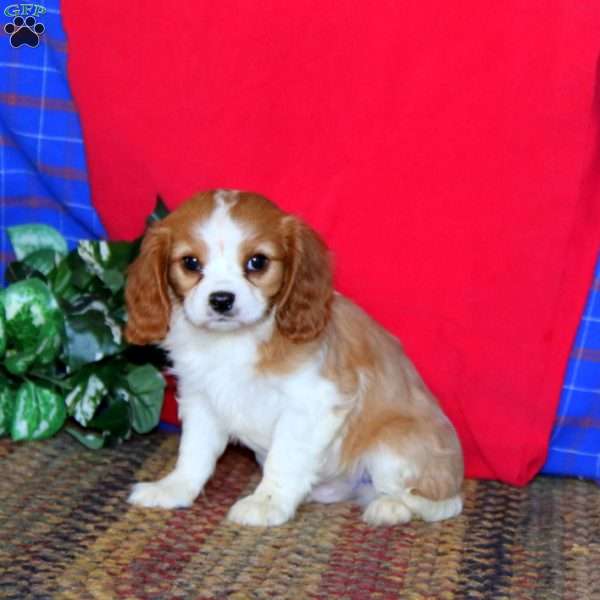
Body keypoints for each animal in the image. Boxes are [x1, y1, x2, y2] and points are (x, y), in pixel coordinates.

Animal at [125, 189, 464, 524]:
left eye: (257, 262)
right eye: (191, 263)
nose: (221, 299)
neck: (234, 341)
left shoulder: (312, 403)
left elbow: (284, 456)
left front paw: (266, 502)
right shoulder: (201, 399)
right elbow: (194, 452)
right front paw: (173, 488)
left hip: (391, 444)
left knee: (436, 501)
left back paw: (390, 507)